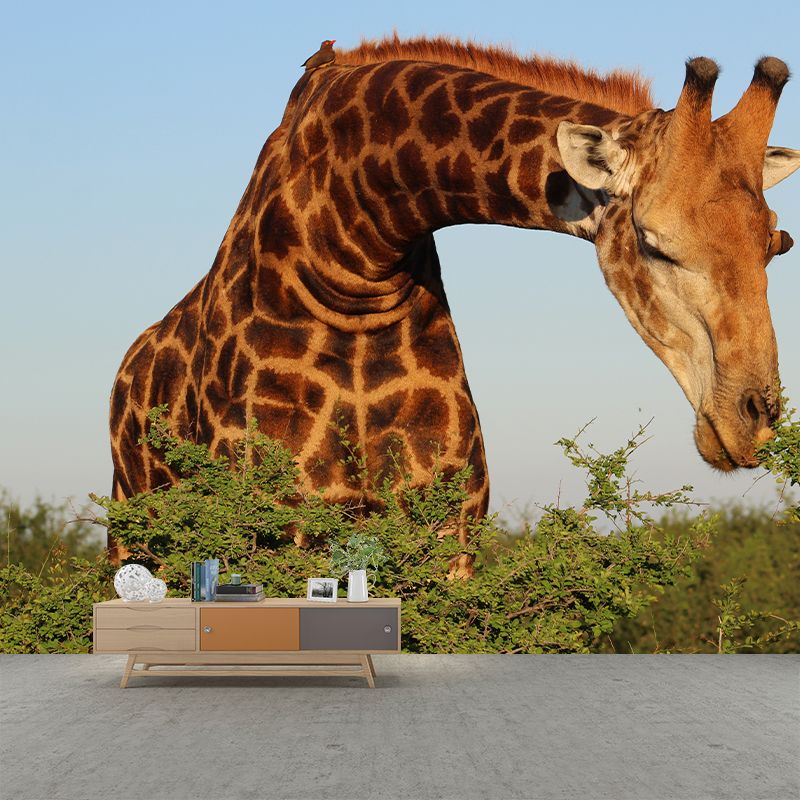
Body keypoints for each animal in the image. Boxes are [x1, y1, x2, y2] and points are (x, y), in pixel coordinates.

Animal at [109, 36, 799, 567]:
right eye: (654, 243)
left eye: (776, 244)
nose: (753, 421)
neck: (352, 259)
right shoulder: (279, 522)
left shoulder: (448, 525)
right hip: (134, 528)